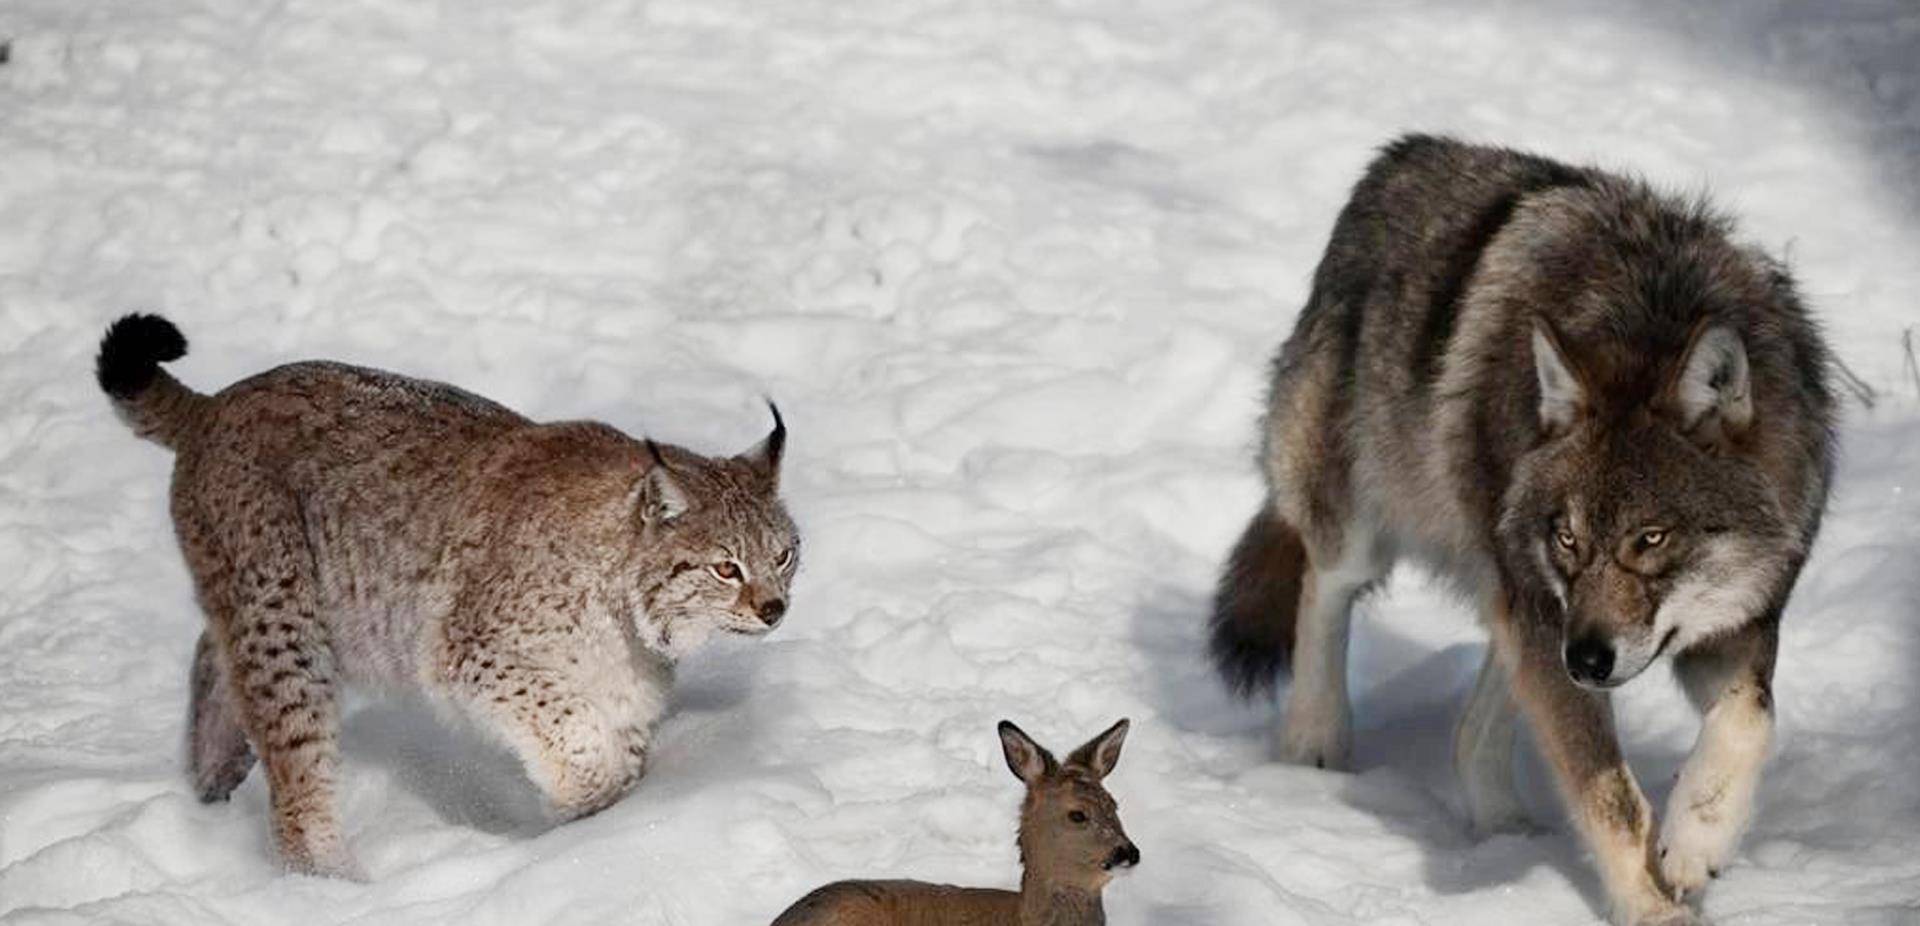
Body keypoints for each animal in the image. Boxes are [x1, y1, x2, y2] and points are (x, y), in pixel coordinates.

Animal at [95, 315, 802, 879]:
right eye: (726, 568)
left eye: (784, 555)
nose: (774, 608)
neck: (628, 613)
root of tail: (217, 402)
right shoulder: (466, 650)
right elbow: (568, 724)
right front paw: (577, 800)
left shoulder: (624, 690)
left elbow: (619, 759)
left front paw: (597, 830)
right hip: (285, 618)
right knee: (296, 774)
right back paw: (326, 885)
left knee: (209, 652)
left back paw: (212, 778)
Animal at [1205, 133, 1835, 922]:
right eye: (1568, 537)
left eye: (1650, 539)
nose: (1588, 661)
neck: (1653, 310)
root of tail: (1399, 156)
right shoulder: (1553, 620)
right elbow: (1610, 796)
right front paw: (1652, 908)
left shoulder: (1733, 625)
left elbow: (1751, 720)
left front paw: (1694, 844)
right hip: (1381, 535)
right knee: (1324, 588)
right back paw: (1316, 745)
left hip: (1521, 603)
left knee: (1475, 724)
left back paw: (1503, 829)